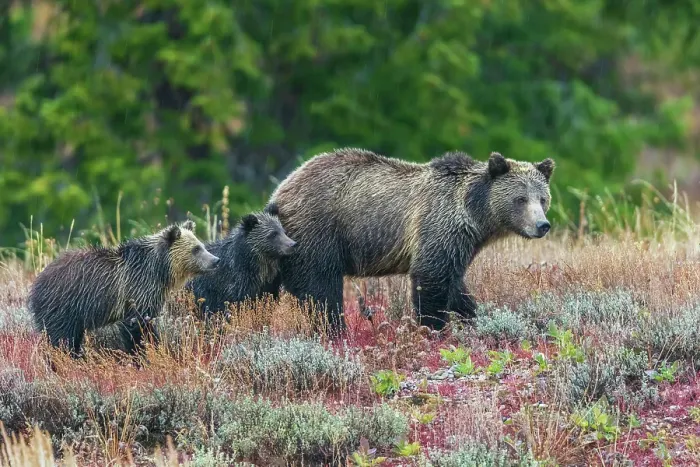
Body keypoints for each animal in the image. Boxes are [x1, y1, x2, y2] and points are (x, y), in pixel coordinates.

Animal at [28, 220, 220, 356]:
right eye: (196, 249)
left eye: (202, 245)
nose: (215, 260)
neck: (158, 270)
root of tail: (35, 284)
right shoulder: (137, 290)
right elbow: (136, 326)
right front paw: (144, 354)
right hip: (63, 306)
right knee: (61, 338)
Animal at [267, 148, 555, 334]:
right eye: (520, 198)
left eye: (542, 198)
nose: (542, 225)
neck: (475, 214)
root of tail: (280, 191)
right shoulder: (438, 224)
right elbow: (431, 277)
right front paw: (433, 327)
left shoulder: (460, 243)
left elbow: (455, 284)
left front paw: (472, 316)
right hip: (318, 231)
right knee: (321, 288)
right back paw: (335, 329)